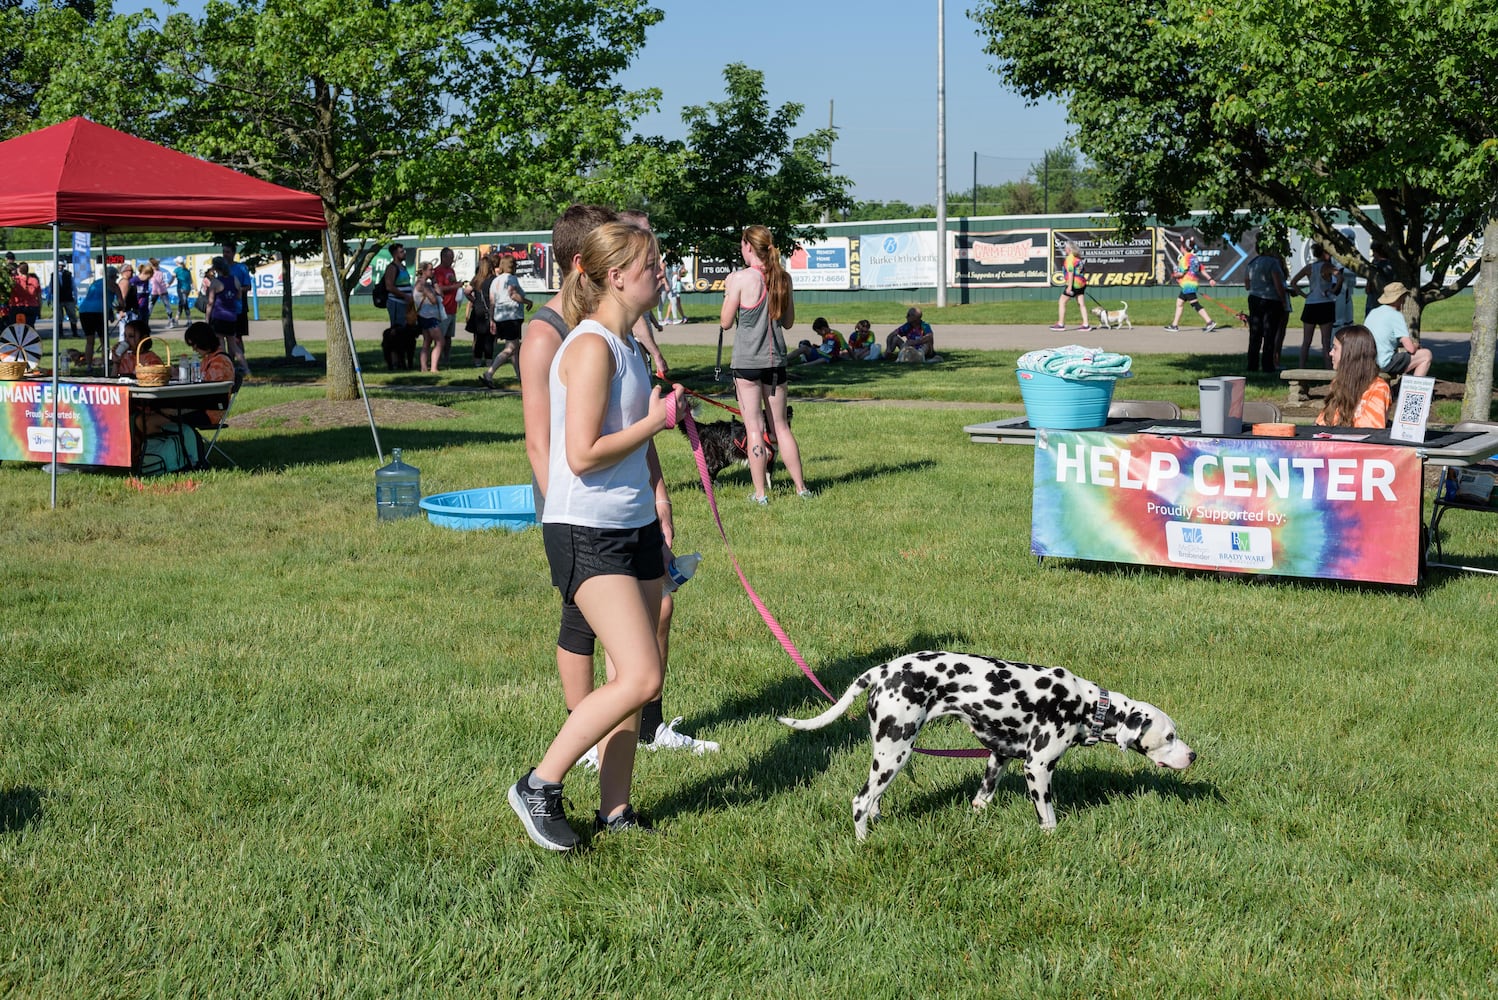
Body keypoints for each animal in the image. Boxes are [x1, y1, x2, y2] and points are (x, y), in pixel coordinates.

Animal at [784, 649, 1192, 838]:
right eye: (1169, 736)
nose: (1193, 754)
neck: (1086, 703)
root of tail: (882, 670)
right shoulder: (1037, 768)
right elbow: (1048, 818)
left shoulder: (999, 757)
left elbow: (982, 799)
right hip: (894, 753)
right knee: (860, 801)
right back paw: (863, 844)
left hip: (888, 755)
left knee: (873, 802)